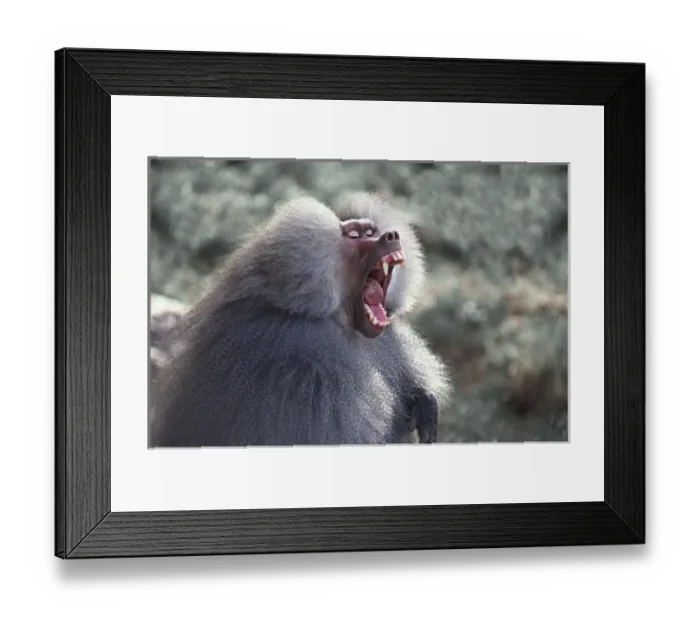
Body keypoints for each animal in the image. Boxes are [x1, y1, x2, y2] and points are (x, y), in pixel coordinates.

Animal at [148, 191, 450, 448]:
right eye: (354, 235)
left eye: (370, 231)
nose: (391, 235)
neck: (344, 323)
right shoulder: (307, 365)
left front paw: (425, 405)